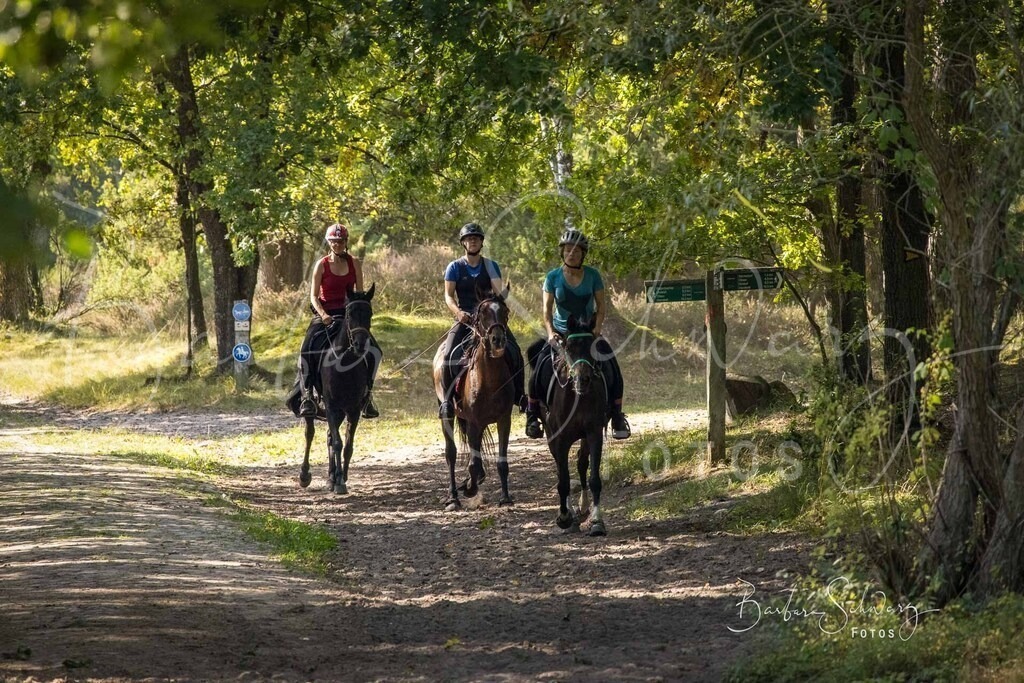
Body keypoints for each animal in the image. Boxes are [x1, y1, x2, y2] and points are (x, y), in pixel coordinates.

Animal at [297, 283, 378, 494]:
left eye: (370, 313)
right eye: (349, 314)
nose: (360, 345)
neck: (345, 364)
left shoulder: (354, 409)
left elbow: (347, 445)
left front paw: (342, 478)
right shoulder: (332, 406)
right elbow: (337, 442)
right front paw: (340, 482)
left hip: (341, 411)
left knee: (327, 435)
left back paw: (331, 477)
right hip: (317, 406)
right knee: (310, 433)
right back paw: (305, 475)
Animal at [431, 287, 517, 511]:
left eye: (505, 312)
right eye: (483, 314)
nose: (497, 340)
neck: (489, 381)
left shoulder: (504, 420)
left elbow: (501, 461)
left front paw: (505, 497)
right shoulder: (473, 422)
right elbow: (473, 462)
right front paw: (470, 489)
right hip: (449, 413)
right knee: (451, 454)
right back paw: (453, 497)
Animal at [530, 316, 609, 536]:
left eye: (592, 347)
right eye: (569, 348)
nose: (583, 379)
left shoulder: (593, 433)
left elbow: (593, 478)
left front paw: (597, 521)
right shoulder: (559, 439)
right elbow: (563, 480)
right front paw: (564, 517)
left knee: (581, 463)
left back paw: (583, 508)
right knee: (561, 469)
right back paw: (571, 513)